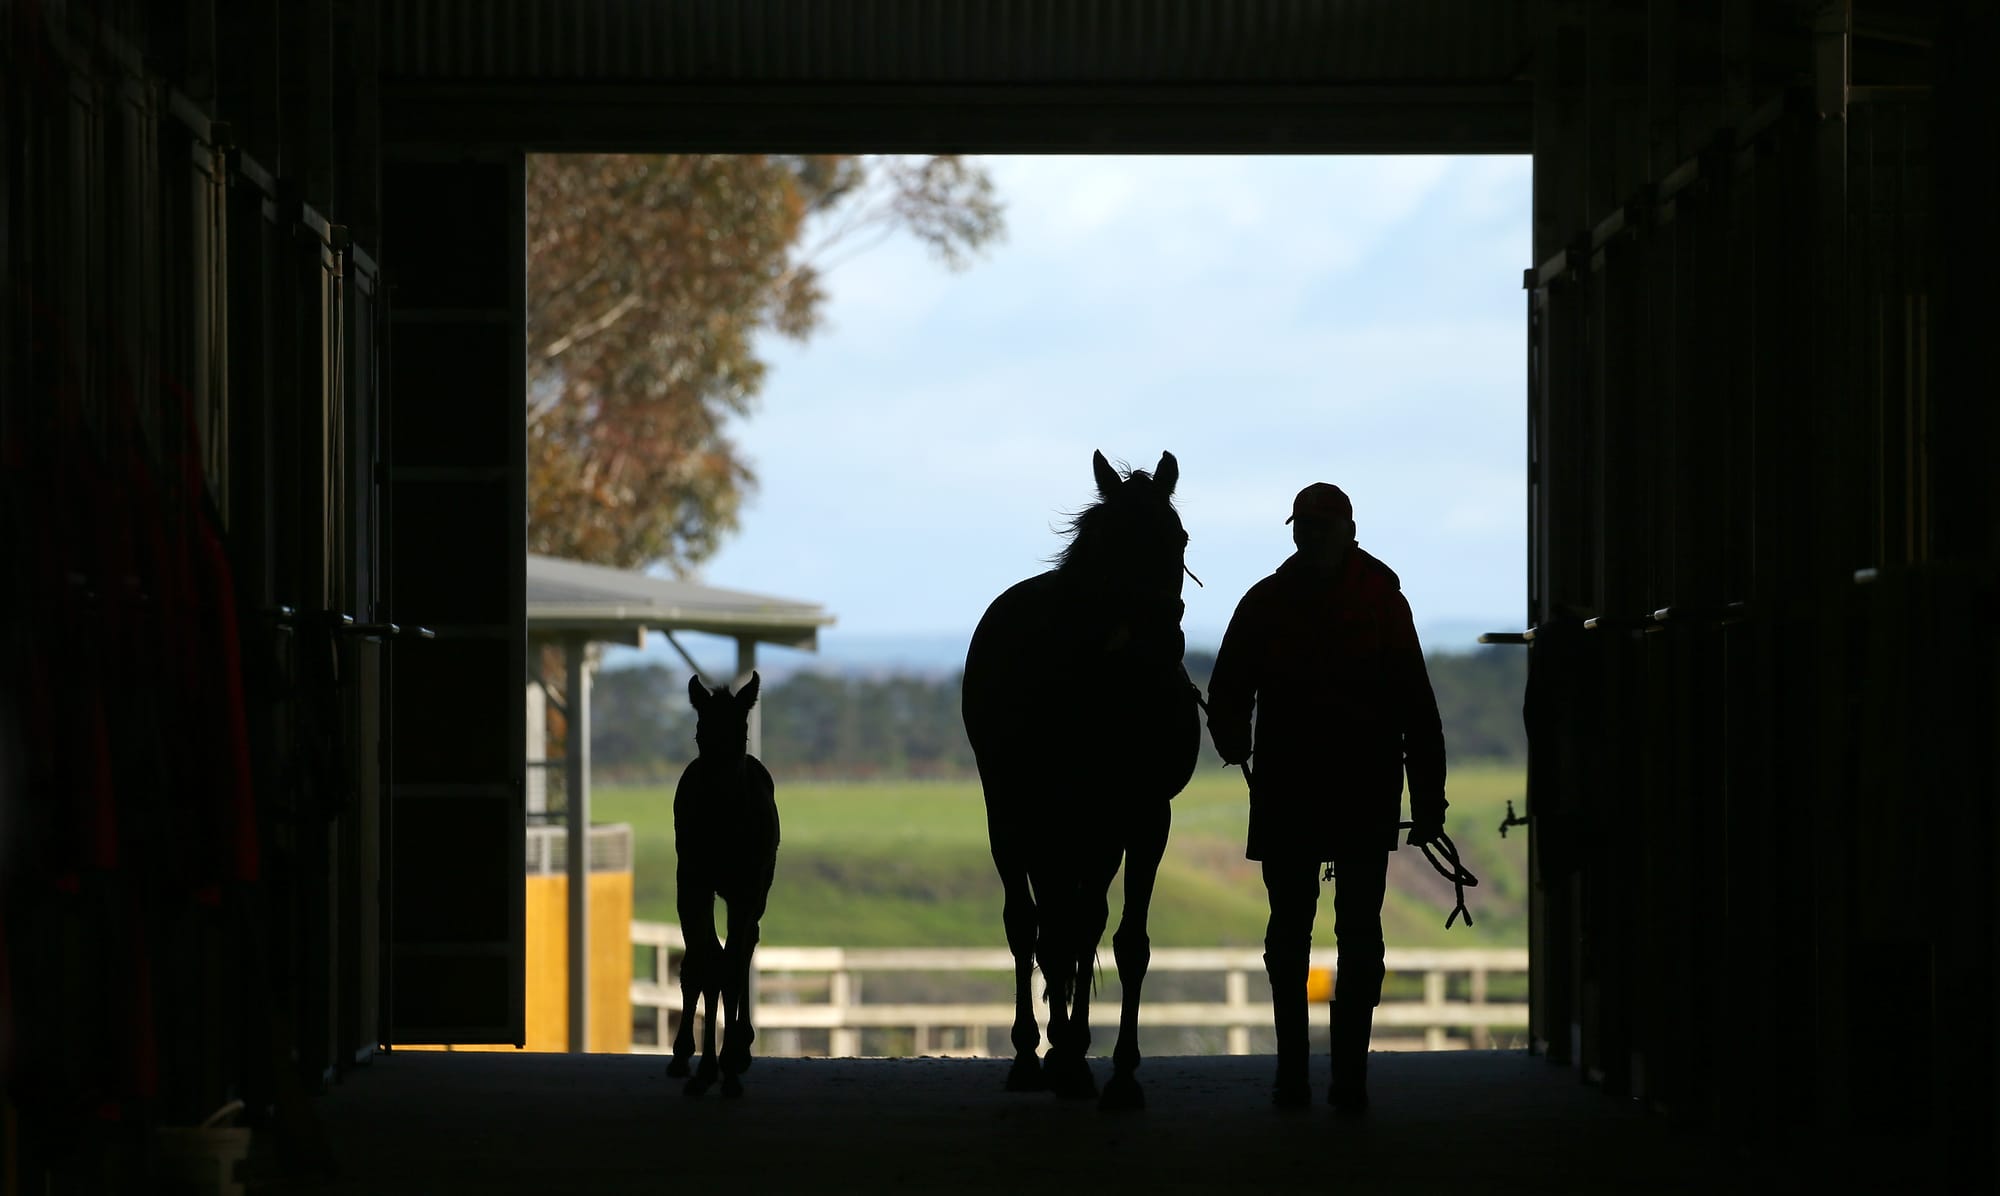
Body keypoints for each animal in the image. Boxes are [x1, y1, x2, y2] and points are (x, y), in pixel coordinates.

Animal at [664, 672, 772, 1104]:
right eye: (699, 732)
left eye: (742, 732)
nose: (718, 804)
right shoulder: (694, 885)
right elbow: (704, 966)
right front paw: (702, 1067)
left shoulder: (745, 891)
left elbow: (729, 968)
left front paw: (726, 1069)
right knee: (704, 959)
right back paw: (686, 1057)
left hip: (757, 891)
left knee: (743, 950)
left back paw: (741, 1048)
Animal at [960, 452, 1192, 1112]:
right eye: (1112, 543)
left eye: (1178, 540)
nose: (1161, 646)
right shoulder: (1038, 818)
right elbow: (1043, 930)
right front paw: (1057, 1056)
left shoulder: (1143, 819)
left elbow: (1123, 941)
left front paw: (1119, 1072)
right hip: (1017, 820)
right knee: (1030, 926)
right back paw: (1031, 1056)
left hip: (1091, 835)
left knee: (1079, 924)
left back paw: (1071, 1053)